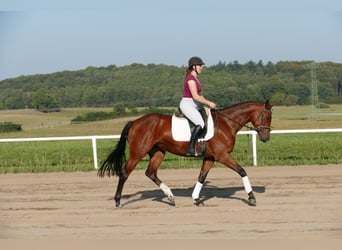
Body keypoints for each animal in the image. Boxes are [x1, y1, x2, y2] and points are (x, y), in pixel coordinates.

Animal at [98, 99, 272, 207]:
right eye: (268, 117)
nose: (265, 138)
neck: (226, 123)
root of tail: (135, 122)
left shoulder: (210, 157)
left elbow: (201, 177)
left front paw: (197, 199)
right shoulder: (222, 156)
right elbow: (242, 171)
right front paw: (251, 197)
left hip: (158, 152)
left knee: (150, 172)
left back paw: (170, 197)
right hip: (138, 153)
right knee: (124, 173)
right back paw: (118, 201)